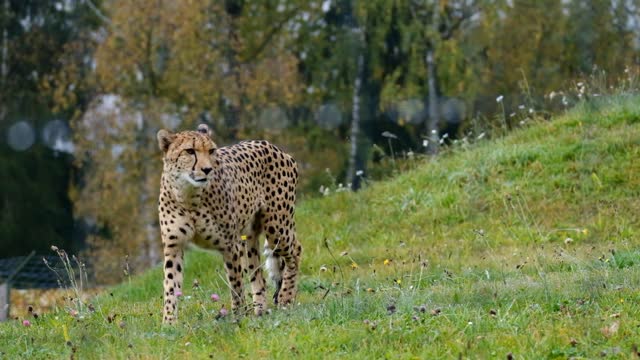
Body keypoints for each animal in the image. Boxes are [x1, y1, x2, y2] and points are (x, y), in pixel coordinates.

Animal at [158, 124, 302, 324]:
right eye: (190, 151)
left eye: (211, 151)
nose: (207, 169)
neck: (188, 195)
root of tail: (272, 146)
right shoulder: (174, 245)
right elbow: (171, 284)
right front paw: (169, 322)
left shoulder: (229, 245)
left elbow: (236, 283)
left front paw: (238, 316)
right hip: (249, 237)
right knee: (258, 274)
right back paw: (260, 310)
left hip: (277, 228)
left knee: (295, 250)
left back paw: (285, 297)